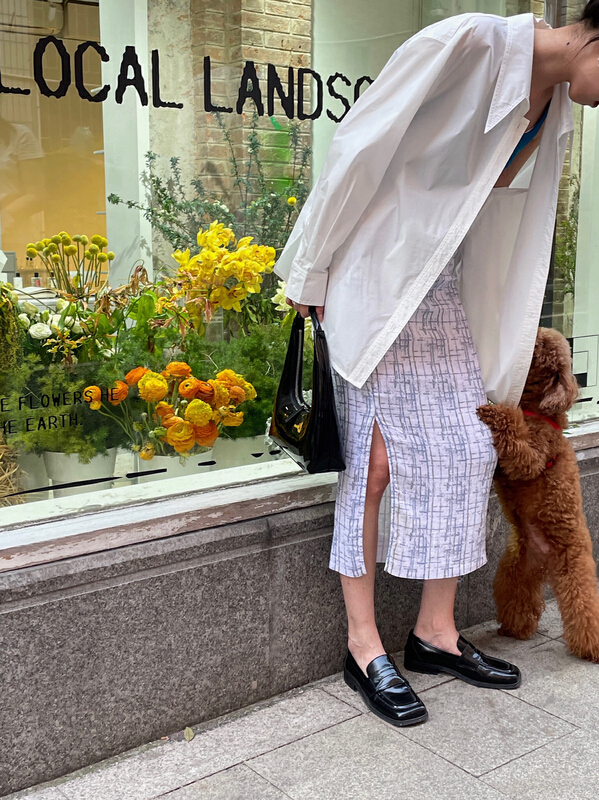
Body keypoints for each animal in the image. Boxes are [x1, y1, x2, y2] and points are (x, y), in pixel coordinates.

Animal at [476, 327, 599, 663]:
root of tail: (547, 562)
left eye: (542, 345)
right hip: (517, 568)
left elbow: (519, 447)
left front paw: (498, 412)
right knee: (518, 598)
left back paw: (590, 648)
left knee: (584, 605)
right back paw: (514, 628)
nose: (530, 335)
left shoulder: (533, 455)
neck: (536, 408)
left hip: (574, 566)